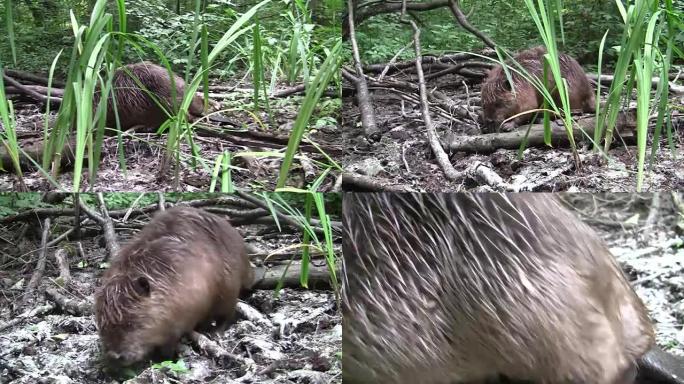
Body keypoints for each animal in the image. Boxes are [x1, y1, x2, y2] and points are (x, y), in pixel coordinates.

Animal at [91, 206, 251, 368]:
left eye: (131, 324)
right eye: (101, 325)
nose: (114, 356)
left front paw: (164, 356)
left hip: (229, 286)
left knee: (227, 312)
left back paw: (214, 331)